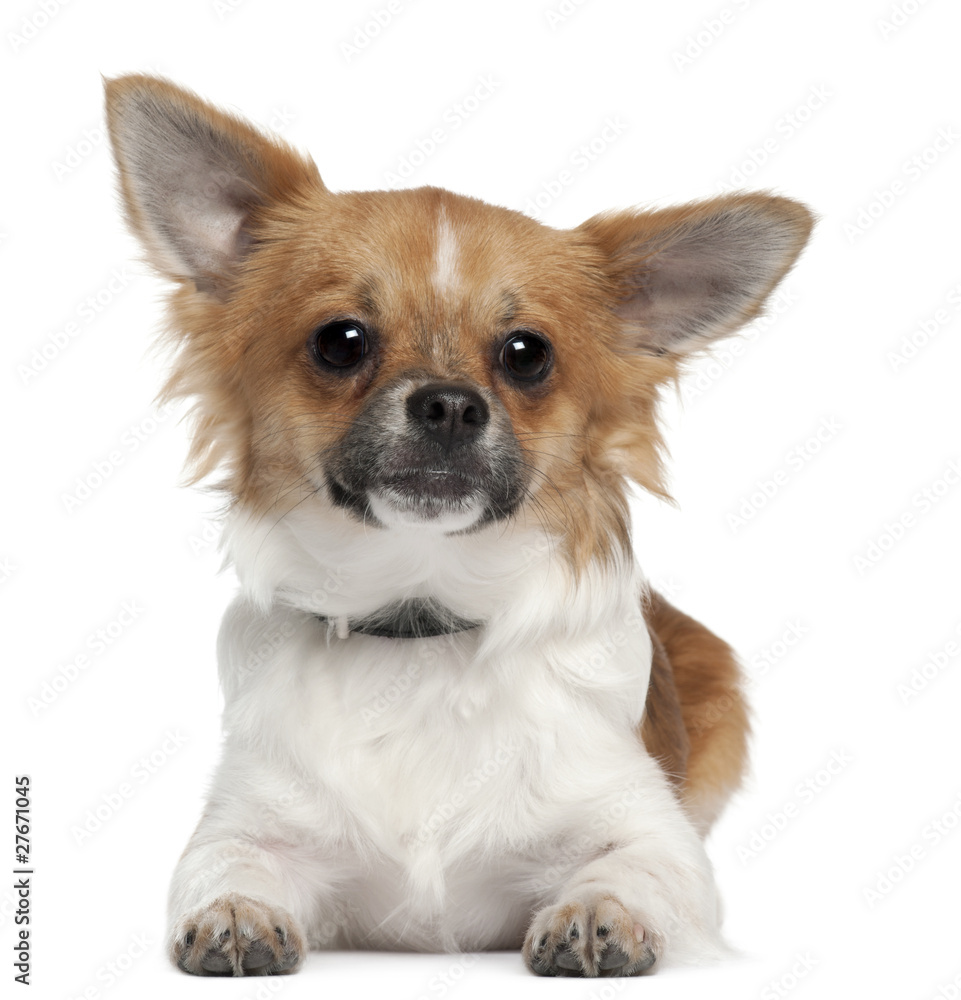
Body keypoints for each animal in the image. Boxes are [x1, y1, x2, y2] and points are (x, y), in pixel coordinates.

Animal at [103, 76, 808, 976]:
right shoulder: (245, 820)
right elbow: (226, 862)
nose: (447, 402)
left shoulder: (655, 835)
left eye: (526, 354)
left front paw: (597, 911)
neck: (421, 611)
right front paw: (235, 910)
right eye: (340, 341)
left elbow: (635, 866)